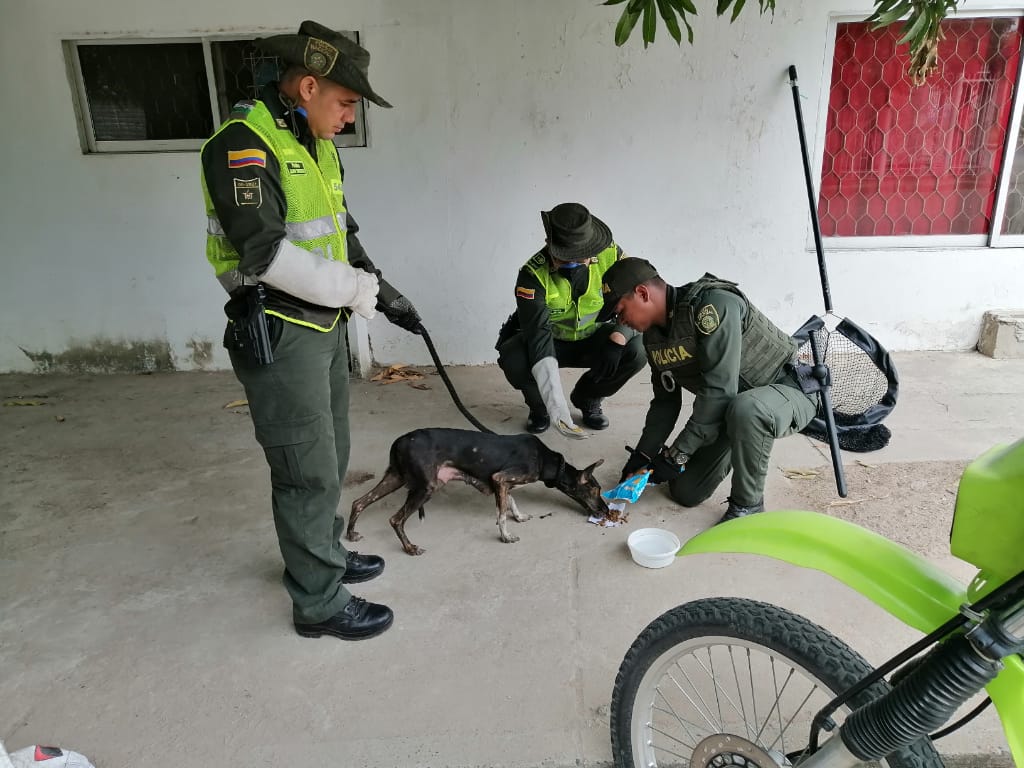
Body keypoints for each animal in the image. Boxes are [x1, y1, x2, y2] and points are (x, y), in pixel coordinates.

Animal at [347, 428, 608, 555]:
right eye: (596, 489)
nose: (606, 511)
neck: (546, 460)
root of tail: (400, 441)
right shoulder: (501, 479)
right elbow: (501, 515)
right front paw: (506, 537)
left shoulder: (503, 483)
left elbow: (511, 503)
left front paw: (520, 516)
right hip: (425, 487)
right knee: (395, 519)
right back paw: (410, 548)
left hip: (395, 477)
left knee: (359, 502)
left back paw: (351, 534)